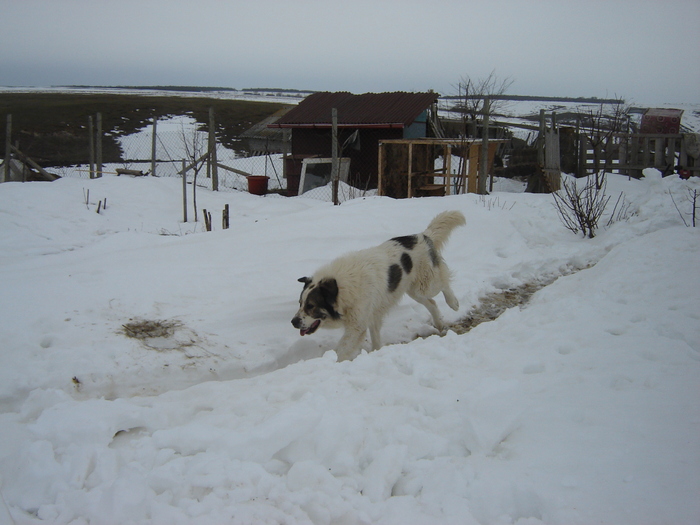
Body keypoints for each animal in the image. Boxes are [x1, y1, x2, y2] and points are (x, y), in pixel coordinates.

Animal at [292, 209, 468, 360]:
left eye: (311, 306)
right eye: (300, 303)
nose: (293, 322)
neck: (342, 289)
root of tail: (422, 236)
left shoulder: (356, 326)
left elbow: (341, 350)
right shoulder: (371, 315)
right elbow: (375, 338)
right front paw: (376, 352)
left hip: (425, 285)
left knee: (444, 282)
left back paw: (453, 303)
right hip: (414, 290)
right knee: (431, 302)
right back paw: (439, 323)